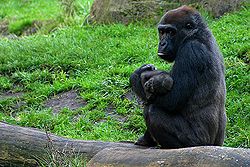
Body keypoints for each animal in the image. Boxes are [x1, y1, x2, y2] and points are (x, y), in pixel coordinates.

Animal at [130, 5, 228, 148]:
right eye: (162, 32)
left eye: (171, 32)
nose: (162, 44)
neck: (196, 34)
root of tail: (214, 145)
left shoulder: (190, 51)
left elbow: (172, 99)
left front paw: (137, 77)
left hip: (197, 142)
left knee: (153, 110)